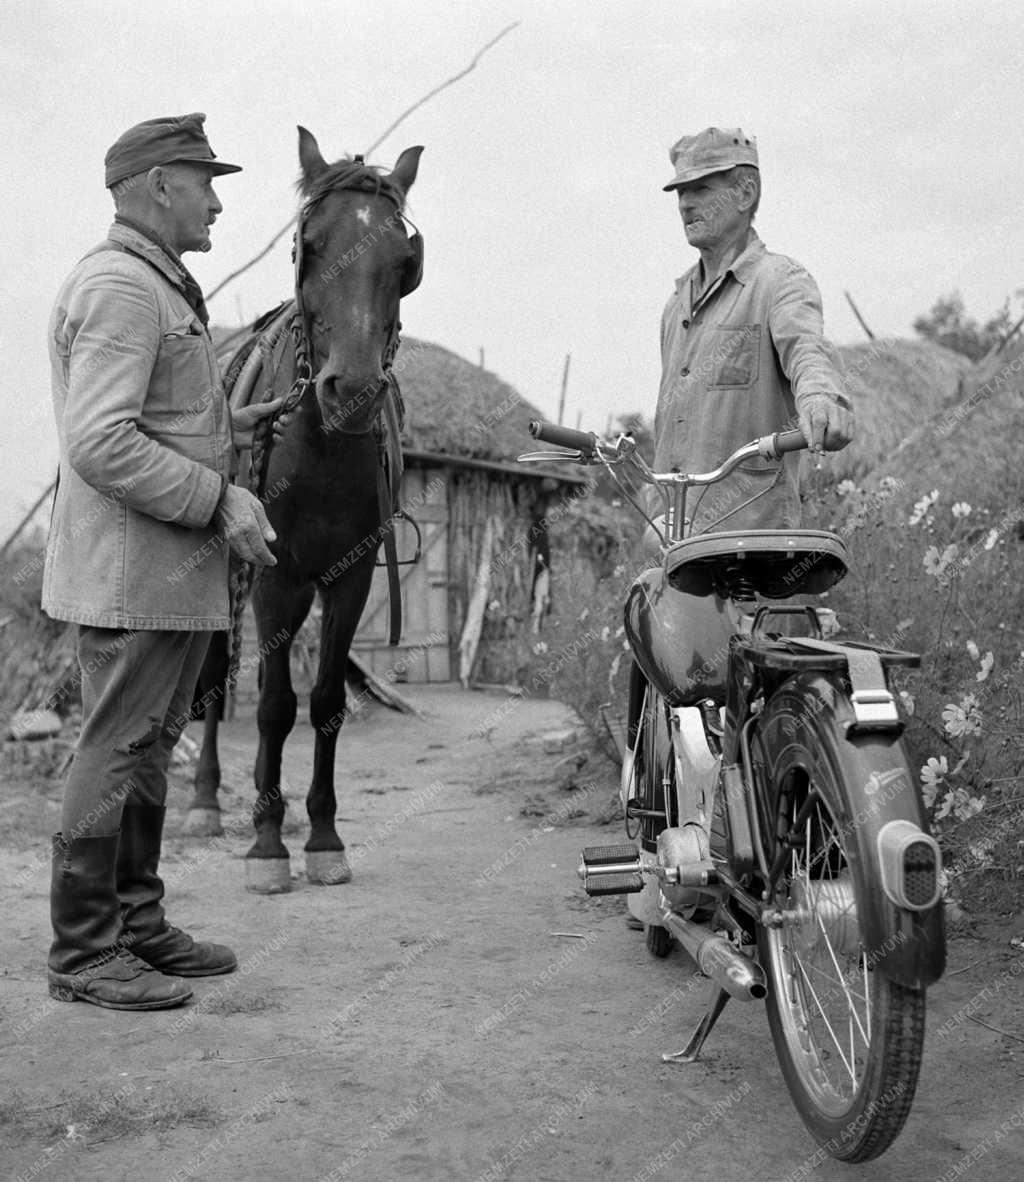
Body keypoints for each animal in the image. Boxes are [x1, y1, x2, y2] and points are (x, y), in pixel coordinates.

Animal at [184, 127, 423, 893]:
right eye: (310, 246)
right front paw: (266, 842)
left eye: (404, 261)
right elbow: (273, 704)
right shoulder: (277, 575)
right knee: (214, 674)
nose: (352, 392)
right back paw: (205, 800)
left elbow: (323, 704)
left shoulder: (351, 577)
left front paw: (321, 836)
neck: (319, 443)